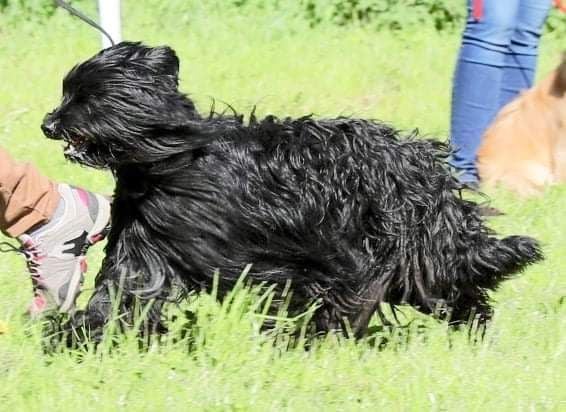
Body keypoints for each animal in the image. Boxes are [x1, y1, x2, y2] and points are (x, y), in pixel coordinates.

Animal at [43, 41, 540, 338]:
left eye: (86, 98)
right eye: (67, 93)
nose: (48, 124)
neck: (169, 159)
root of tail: (431, 177)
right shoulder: (149, 239)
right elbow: (125, 287)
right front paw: (80, 333)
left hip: (399, 243)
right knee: (446, 286)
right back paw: (469, 323)